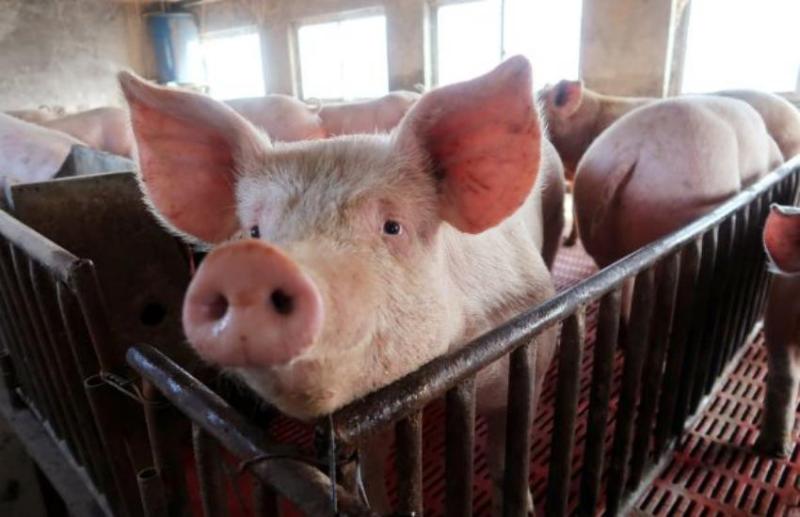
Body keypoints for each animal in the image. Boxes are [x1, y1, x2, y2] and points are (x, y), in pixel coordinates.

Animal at [119, 56, 561, 514]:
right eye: (254, 231)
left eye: (392, 226)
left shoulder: (534, 347)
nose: (248, 264)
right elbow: (372, 475)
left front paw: (525, 506)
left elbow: (508, 453)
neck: (444, 366)